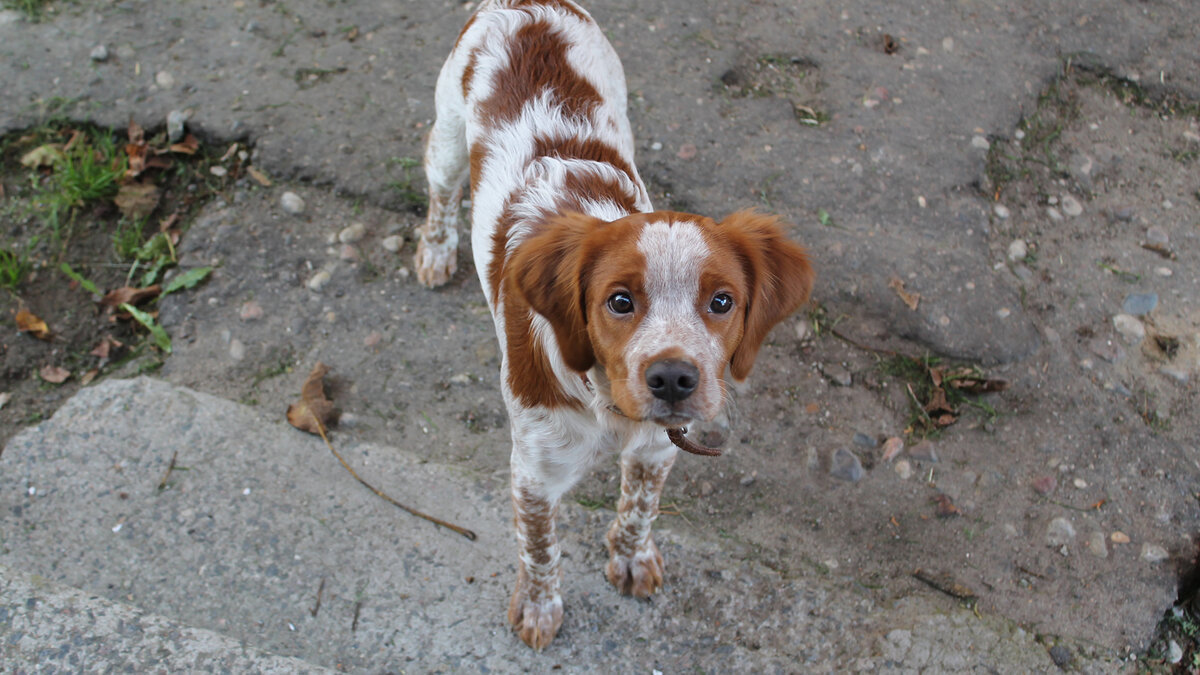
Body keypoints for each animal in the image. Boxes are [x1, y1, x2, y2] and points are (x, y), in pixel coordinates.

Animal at [415, 0, 816, 648]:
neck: (607, 407)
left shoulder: (657, 449)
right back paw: (434, 251)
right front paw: (539, 608)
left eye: (722, 301)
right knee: (441, 190)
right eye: (619, 301)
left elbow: (638, 508)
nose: (674, 379)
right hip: (449, 133)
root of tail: (524, 6)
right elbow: (540, 547)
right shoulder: (534, 472)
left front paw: (630, 559)